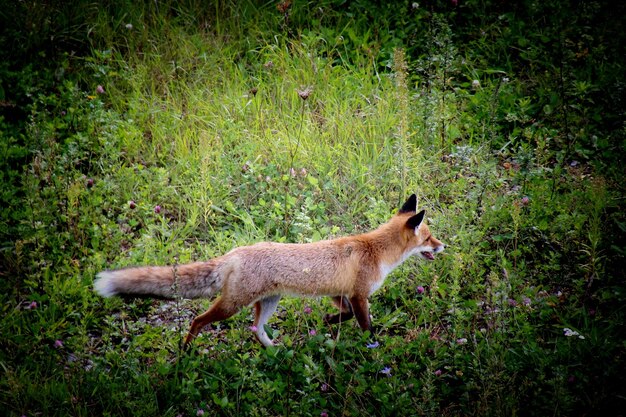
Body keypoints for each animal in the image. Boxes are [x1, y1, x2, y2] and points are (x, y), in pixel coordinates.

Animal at [94, 193, 444, 346]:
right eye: (428, 238)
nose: (443, 247)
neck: (376, 251)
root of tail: (234, 253)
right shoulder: (359, 295)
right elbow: (366, 326)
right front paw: (373, 347)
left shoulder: (339, 293)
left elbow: (342, 315)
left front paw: (328, 321)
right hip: (232, 305)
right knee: (197, 320)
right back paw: (186, 350)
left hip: (268, 303)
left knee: (255, 328)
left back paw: (274, 350)